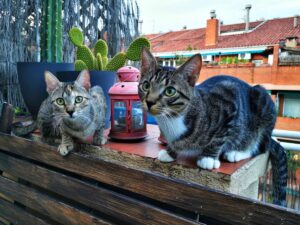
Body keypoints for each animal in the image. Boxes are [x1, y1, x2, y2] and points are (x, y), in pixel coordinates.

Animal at [139, 48, 288, 206]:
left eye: (169, 91)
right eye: (146, 85)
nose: (149, 102)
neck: (173, 119)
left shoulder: (229, 104)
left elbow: (219, 137)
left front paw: (208, 158)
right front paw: (170, 152)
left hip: (264, 105)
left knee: (261, 145)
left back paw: (236, 152)